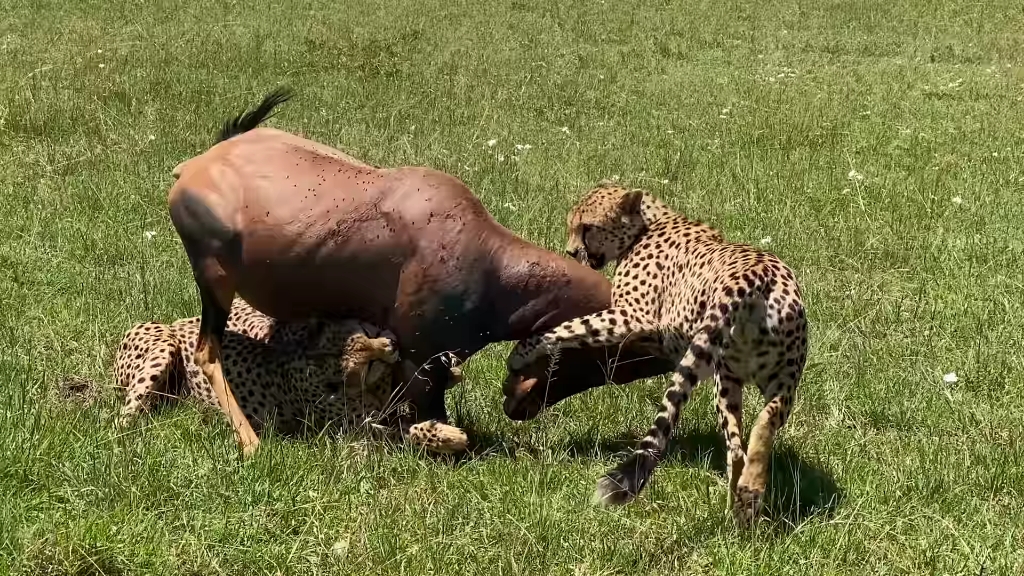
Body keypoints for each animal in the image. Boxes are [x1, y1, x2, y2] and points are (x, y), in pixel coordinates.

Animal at [116, 295, 468, 453]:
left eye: (368, 331)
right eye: (367, 364)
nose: (391, 344)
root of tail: (174, 323)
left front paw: (449, 369)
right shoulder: (354, 431)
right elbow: (400, 432)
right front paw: (447, 437)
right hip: (162, 352)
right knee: (122, 421)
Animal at [505, 181, 806, 522]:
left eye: (587, 227)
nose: (570, 252)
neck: (649, 223)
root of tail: (758, 272)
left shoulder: (631, 317)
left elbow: (568, 328)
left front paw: (521, 353)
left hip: (733, 372)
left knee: (740, 442)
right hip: (761, 381)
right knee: (751, 437)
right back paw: (746, 500)